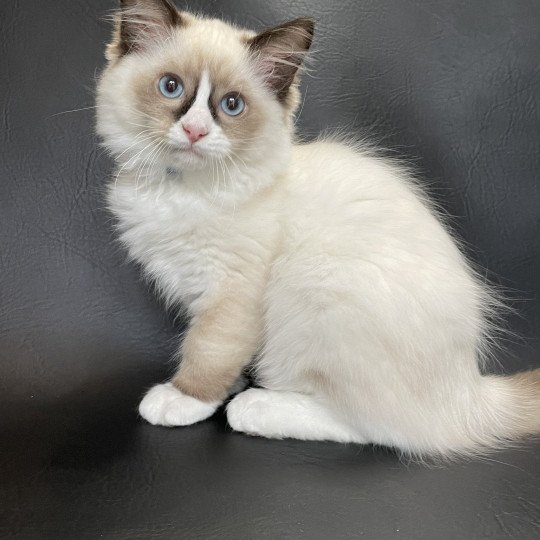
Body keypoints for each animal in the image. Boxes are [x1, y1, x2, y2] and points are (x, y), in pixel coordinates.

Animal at [96, 0, 536, 460]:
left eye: (232, 105)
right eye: (170, 87)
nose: (195, 131)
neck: (181, 189)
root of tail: (469, 392)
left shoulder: (232, 290)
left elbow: (208, 349)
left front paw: (186, 398)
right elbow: (223, 351)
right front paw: (230, 384)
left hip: (315, 290)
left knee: (380, 428)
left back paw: (256, 408)